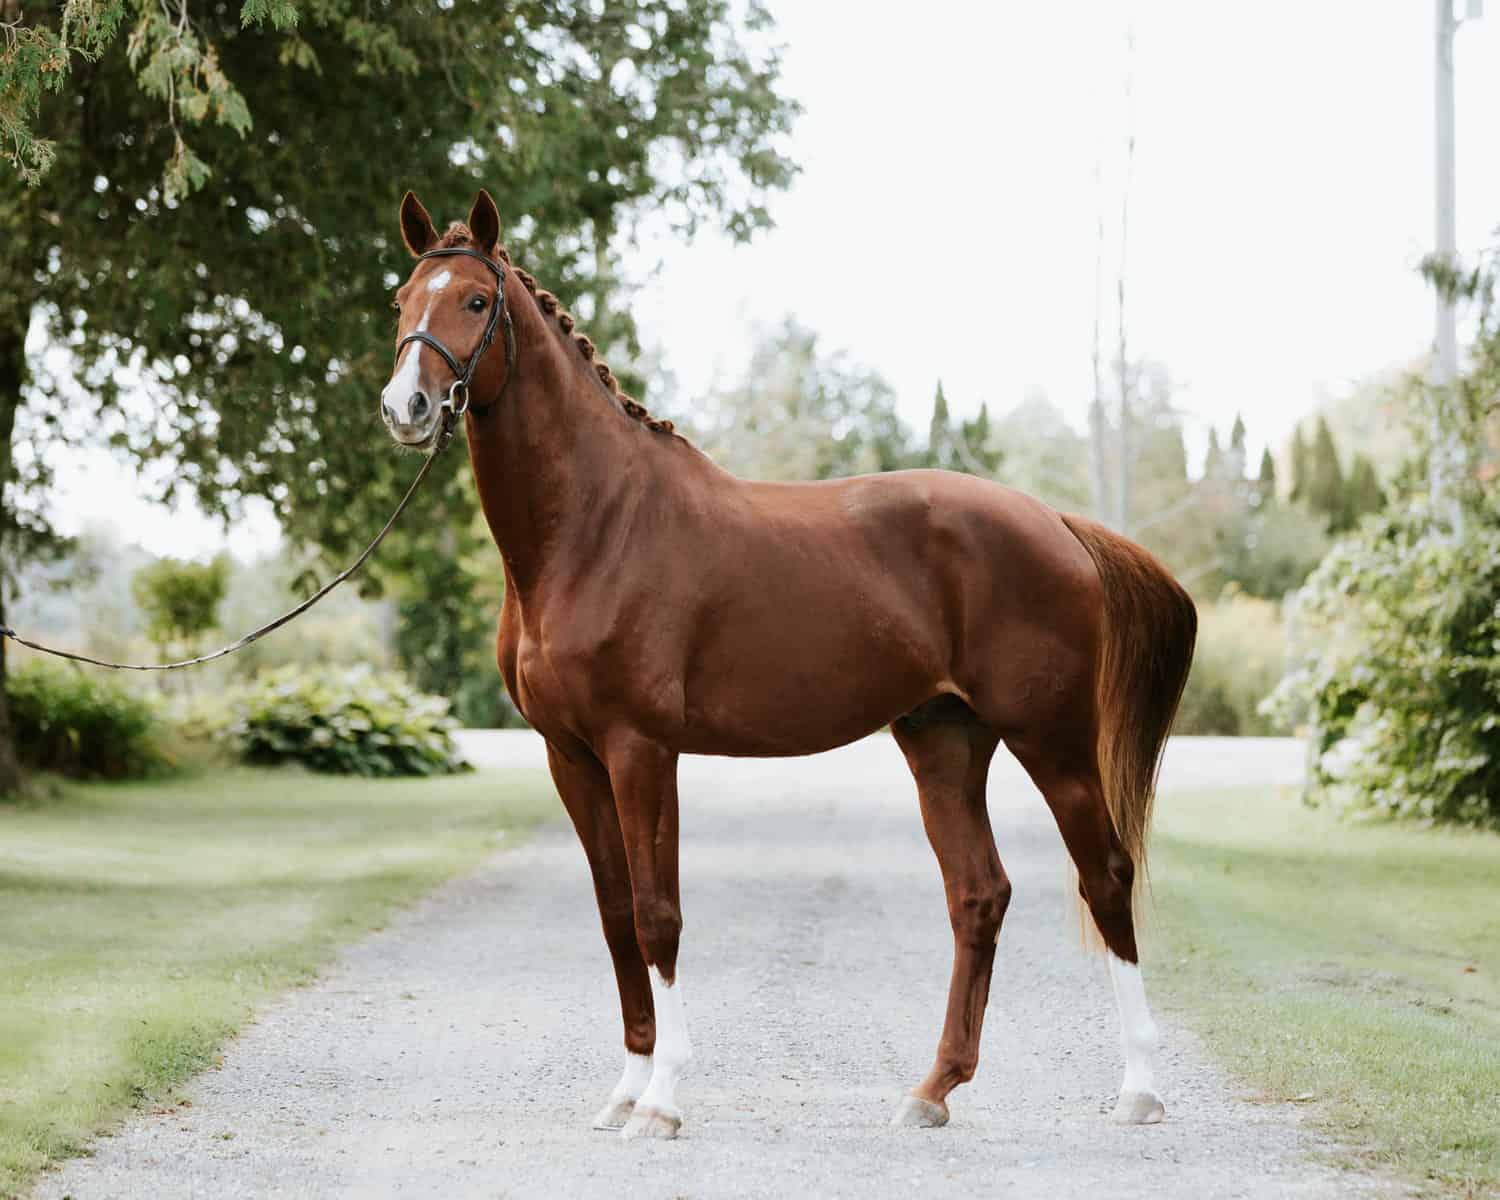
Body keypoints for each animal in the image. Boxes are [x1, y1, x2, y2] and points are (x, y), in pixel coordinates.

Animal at [380, 190, 1198, 1140]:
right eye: (403, 299)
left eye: (477, 301)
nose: (408, 406)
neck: (595, 525)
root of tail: (1056, 522)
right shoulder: (570, 755)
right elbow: (617, 917)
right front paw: (626, 1088)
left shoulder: (640, 748)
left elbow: (659, 917)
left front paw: (662, 1101)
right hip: (944, 741)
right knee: (978, 895)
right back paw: (932, 1091)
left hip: (1053, 741)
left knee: (1106, 877)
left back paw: (1139, 1090)